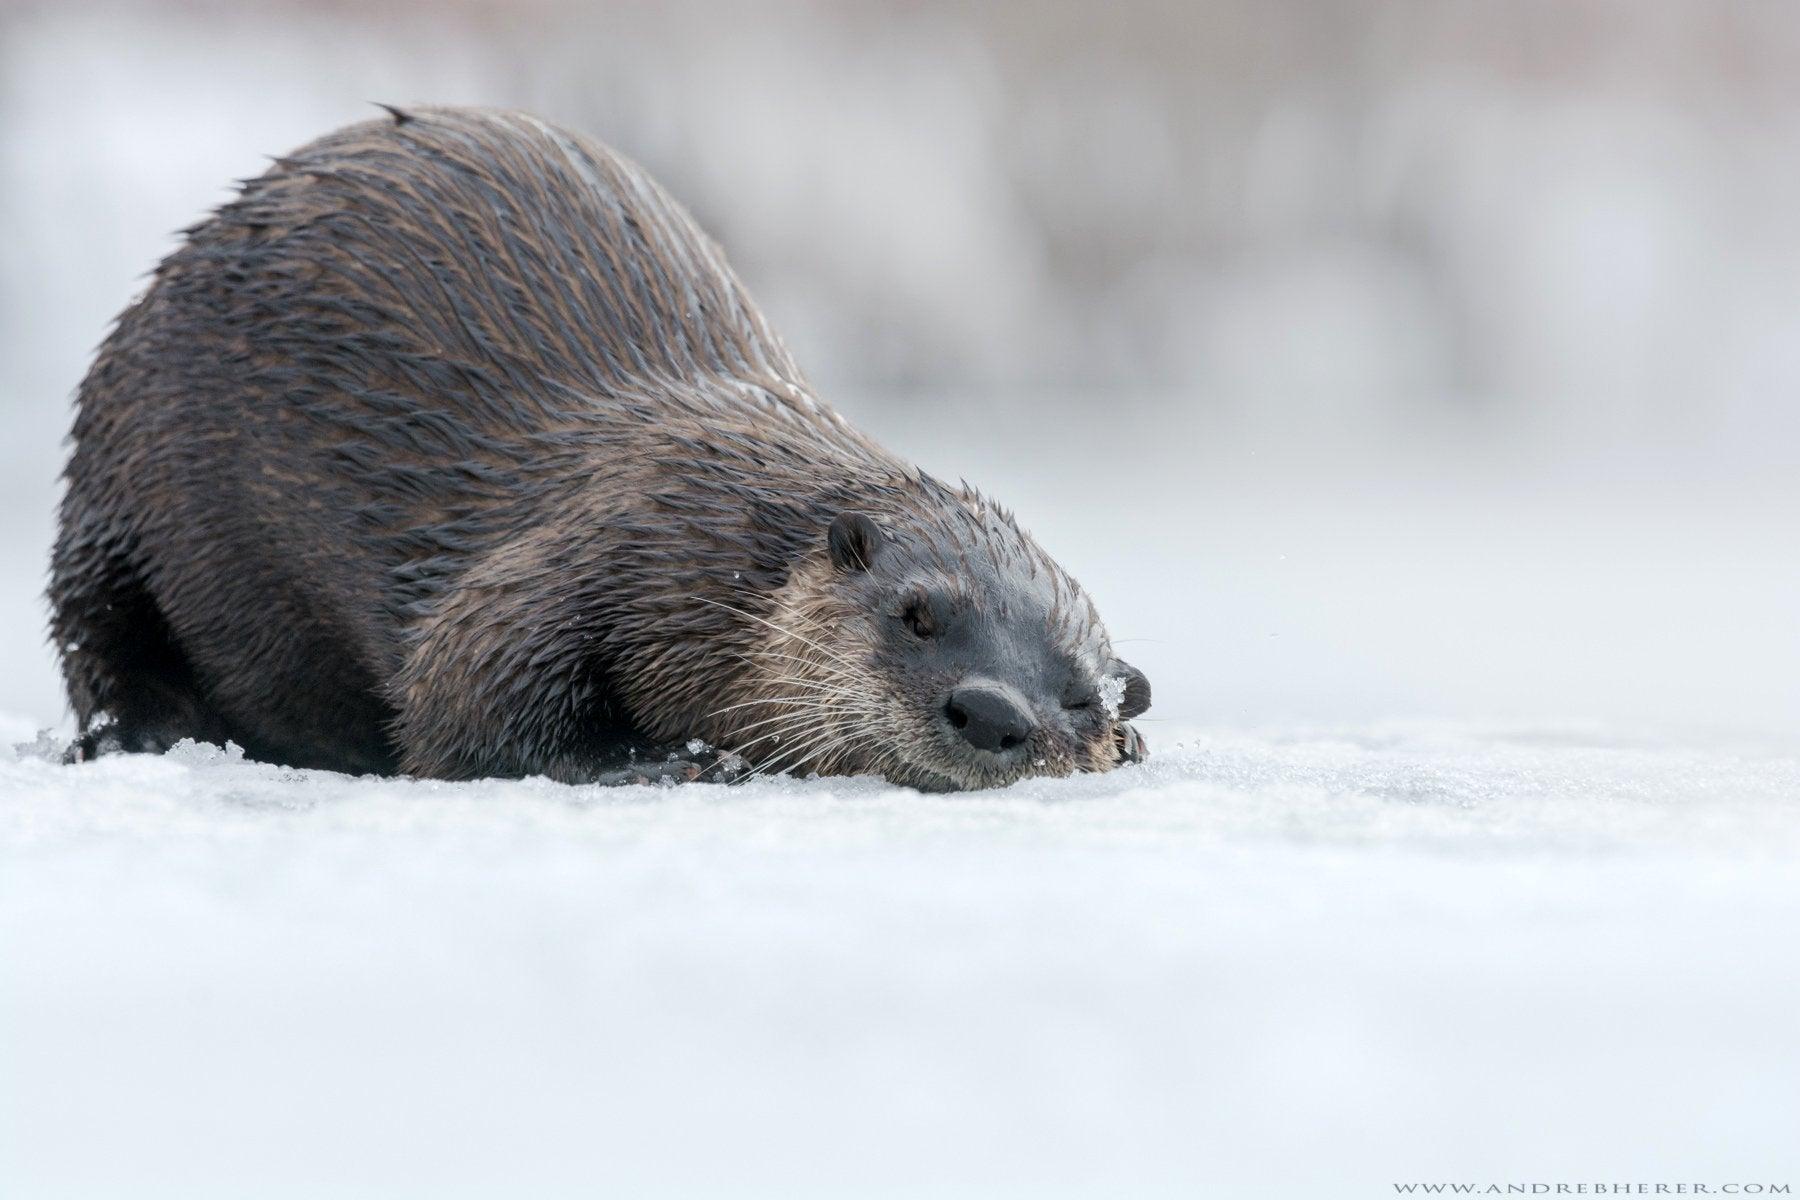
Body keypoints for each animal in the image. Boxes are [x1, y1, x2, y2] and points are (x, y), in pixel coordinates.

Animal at [49, 106, 1150, 790]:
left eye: (1080, 695)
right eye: (919, 614)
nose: (994, 711)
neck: (735, 552)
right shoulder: (610, 540)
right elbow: (464, 697)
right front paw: (676, 760)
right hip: (115, 487)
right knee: (96, 640)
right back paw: (149, 732)